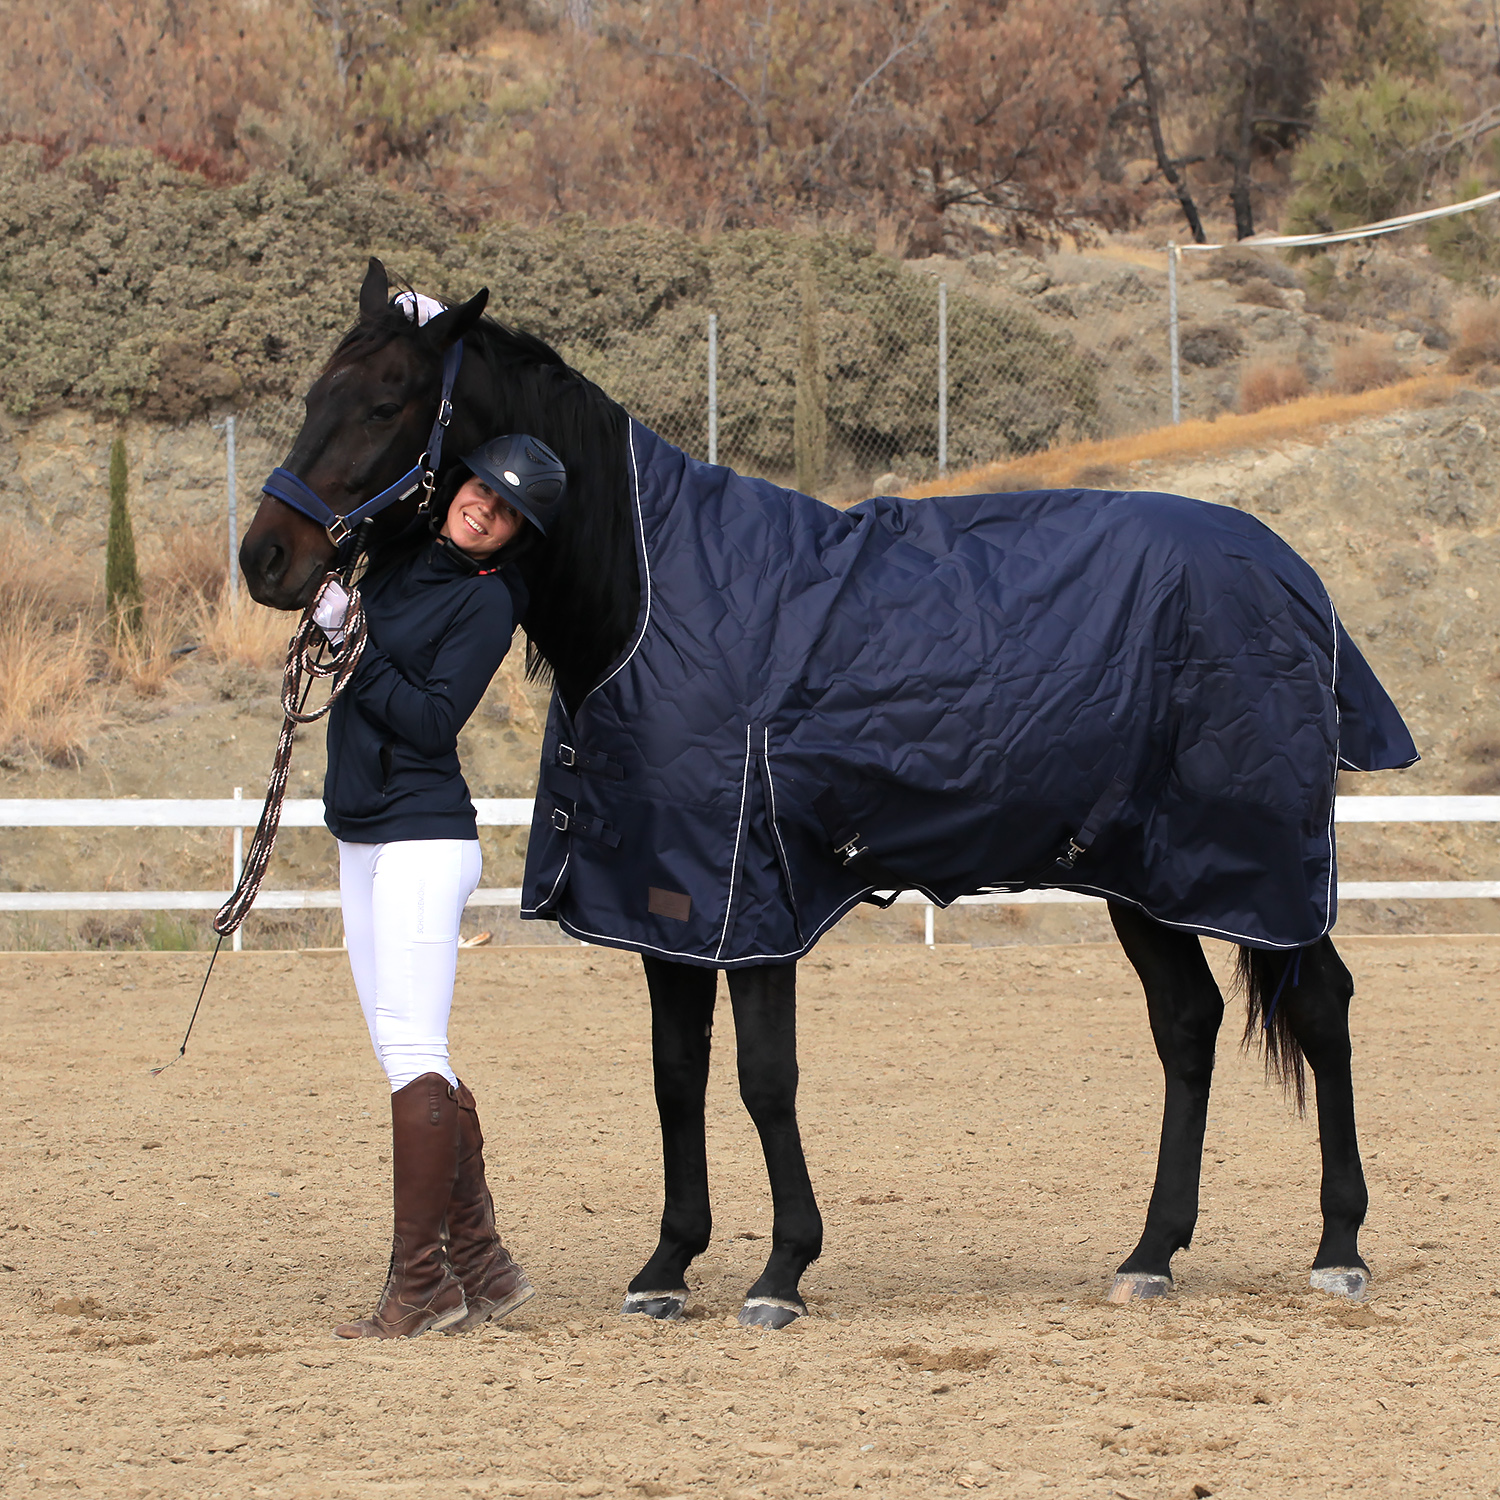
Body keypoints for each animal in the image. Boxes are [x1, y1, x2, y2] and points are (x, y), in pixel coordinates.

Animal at [241, 258, 1414, 1327]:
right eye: (312, 396)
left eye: (387, 402)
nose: (267, 558)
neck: (653, 599)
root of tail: (1294, 578)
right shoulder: (662, 902)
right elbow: (676, 1074)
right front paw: (667, 1266)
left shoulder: (752, 895)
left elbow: (765, 1077)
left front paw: (781, 1271)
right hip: (1141, 875)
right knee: (1188, 1024)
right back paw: (1152, 1253)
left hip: (1256, 865)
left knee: (1322, 1006)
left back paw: (1340, 1247)